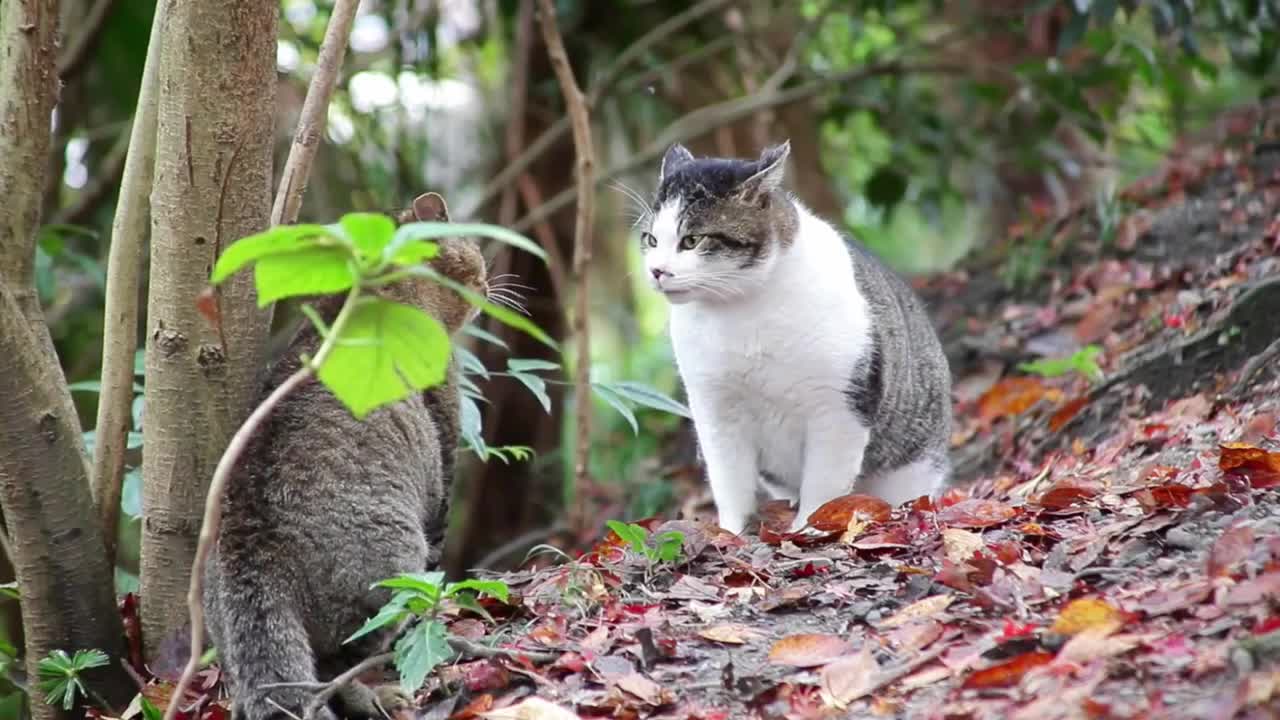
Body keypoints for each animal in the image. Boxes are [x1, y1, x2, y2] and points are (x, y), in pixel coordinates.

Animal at [204, 190, 483, 717]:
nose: (486, 277)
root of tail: (250, 553)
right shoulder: (443, 459)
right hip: (392, 565)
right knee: (339, 666)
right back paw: (380, 695)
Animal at [637, 140, 952, 532]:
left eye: (692, 240)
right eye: (651, 239)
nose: (656, 270)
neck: (742, 310)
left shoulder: (839, 406)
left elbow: (824, 484)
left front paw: (808, 528)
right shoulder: (714, 408)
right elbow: (729, 481)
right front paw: (731, 532)